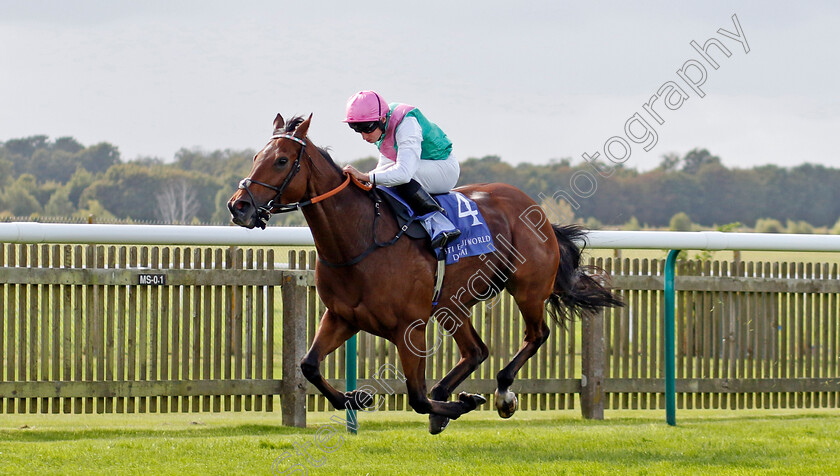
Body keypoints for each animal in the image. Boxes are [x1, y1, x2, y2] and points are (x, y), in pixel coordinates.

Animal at [226, 113, 620, 434]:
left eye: (281, 160)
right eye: (256, 158)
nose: (238, 206)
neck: (359, 240)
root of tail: (538, 211)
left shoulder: (409, 328)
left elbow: (415, 396)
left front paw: (461, 404)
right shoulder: (342, 317)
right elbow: (308, 365)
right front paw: (357, 399)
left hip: (527, 288)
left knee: (536, 335)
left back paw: (502, 393)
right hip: (451, 305)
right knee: (476, 350)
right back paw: (448, 394)